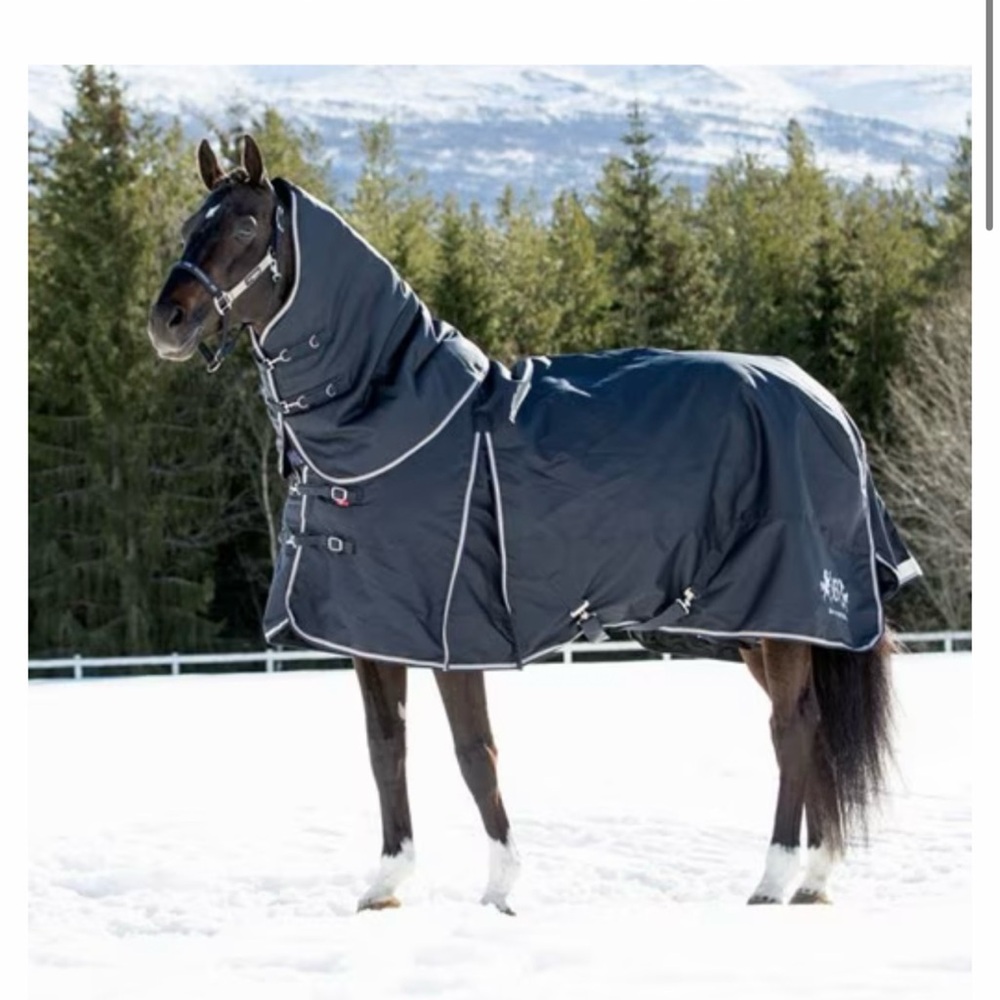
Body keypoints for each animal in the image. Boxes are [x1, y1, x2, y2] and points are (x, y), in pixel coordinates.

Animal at [148, 135, 919, 916]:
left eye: (246, 226)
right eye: (187, 223)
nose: (167, 322)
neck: (399, 421)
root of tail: (827, 405)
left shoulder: (451, 634)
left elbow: (474, 753)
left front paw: (500, 888)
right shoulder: (371, 632)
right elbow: (385, 748)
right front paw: (387, 884)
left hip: (784, 616)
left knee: (792, 730)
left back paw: (773, 878)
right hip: (767, 628)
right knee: (813, 731)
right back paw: (813, 878)